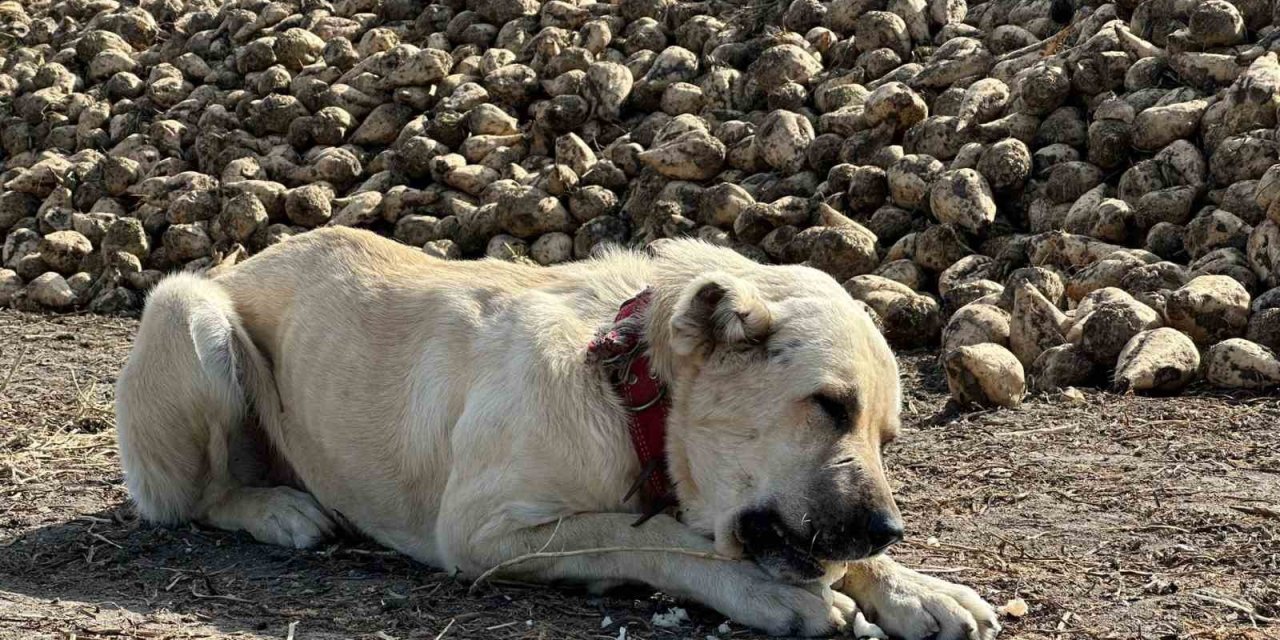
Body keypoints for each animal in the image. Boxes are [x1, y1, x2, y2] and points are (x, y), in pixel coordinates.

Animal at [115, 227, 1003, 637]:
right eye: (827, 406)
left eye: (888, 435)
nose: (889, 528)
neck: (630, 396)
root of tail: (241, 262)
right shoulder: (482, 531)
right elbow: (648, 534)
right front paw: (769, 593)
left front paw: (916, 586)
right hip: (190, 311)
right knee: (193, 497)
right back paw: (277, 509)